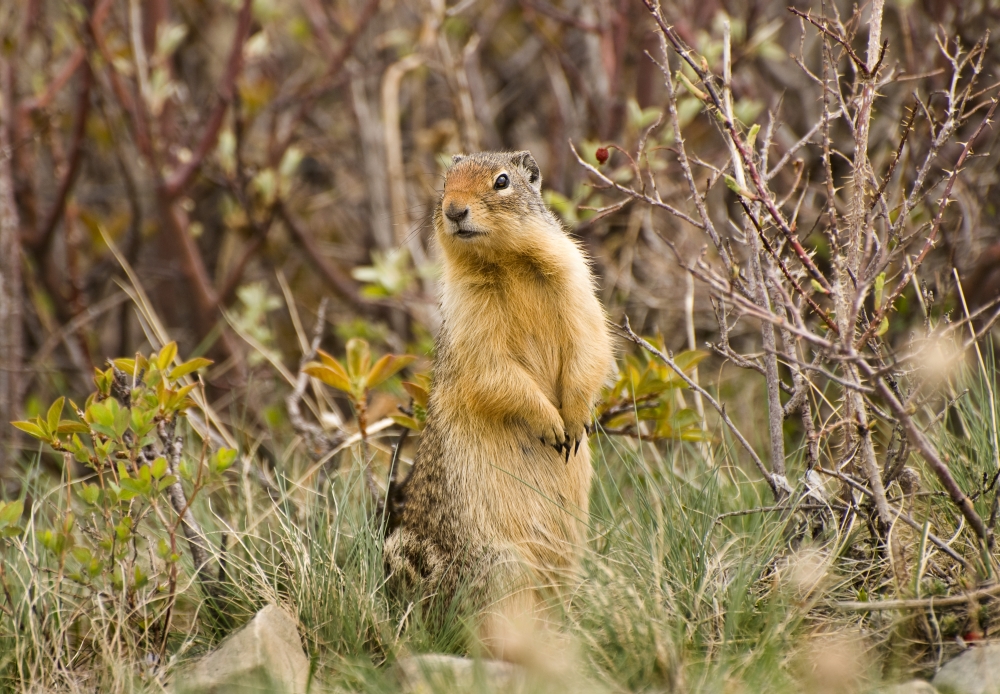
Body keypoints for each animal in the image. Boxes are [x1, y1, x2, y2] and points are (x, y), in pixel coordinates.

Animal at [383, 150, 614, 650]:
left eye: (502, 181)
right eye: (445, 182)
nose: (453, 210)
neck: (507, 263)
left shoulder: (578, 284)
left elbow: (590, 349)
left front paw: (574, 422)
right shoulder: (471, 322)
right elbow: (497, 373)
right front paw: (550, 424)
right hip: (499, 564)